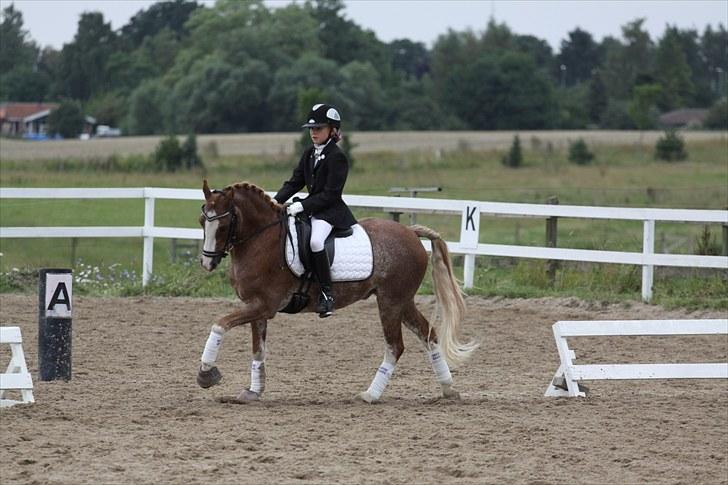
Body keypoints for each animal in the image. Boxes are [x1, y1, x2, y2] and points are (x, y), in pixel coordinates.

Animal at [195, 180, 478, 402]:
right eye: (201, 221)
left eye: (223, 225)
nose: (207, 263)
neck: (261, 240)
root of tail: (410, 232)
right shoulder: (256, 307)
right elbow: (258, 349)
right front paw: (253, 391)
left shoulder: (264, 306)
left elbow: (219, 324)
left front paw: (207, 374)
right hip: (402, 301)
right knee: (428, 335)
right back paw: (448, 389)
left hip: (390, 302)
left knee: (395, 346)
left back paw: (371, 395)